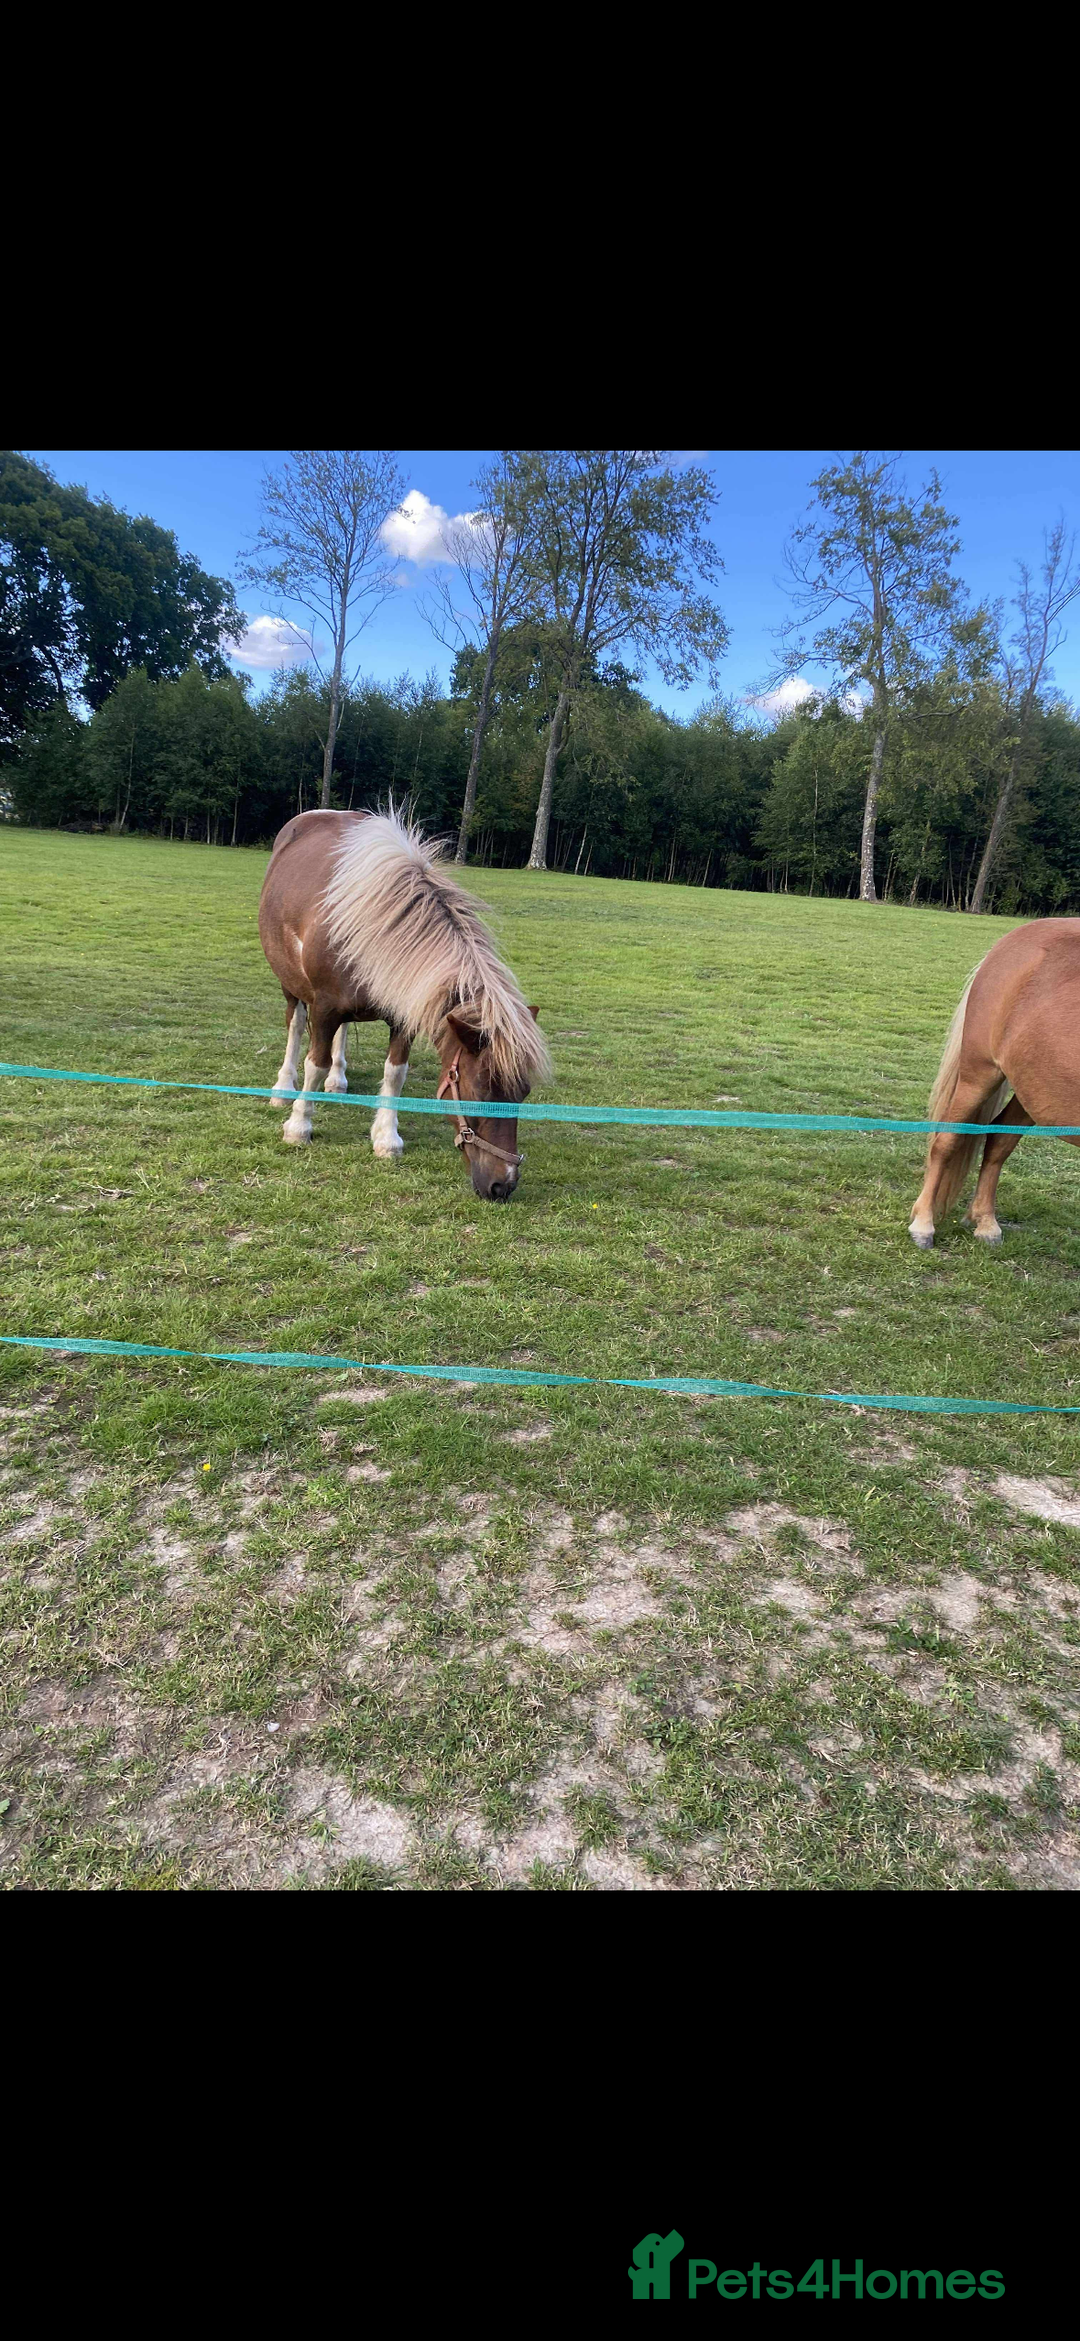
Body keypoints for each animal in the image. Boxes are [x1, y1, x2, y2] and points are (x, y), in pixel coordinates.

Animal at [257, 806, 551, 1202]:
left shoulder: (402, 1015)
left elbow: (394, 1074)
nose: (502, 1185)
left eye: (523, 1094)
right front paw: (299, 1126)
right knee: (294, 1026)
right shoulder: (324, 1008)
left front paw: (386, 1138)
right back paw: (284, 1089)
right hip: (291, 985)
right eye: (479, 1093)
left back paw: (338, 1078)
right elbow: (313, 1064)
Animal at [909, 917, 1080, 1249]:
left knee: (999, 1139)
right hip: (980, 1074)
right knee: (947, 1139)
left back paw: (986, 1223)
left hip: (1033, 1089)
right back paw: (923, 1224)